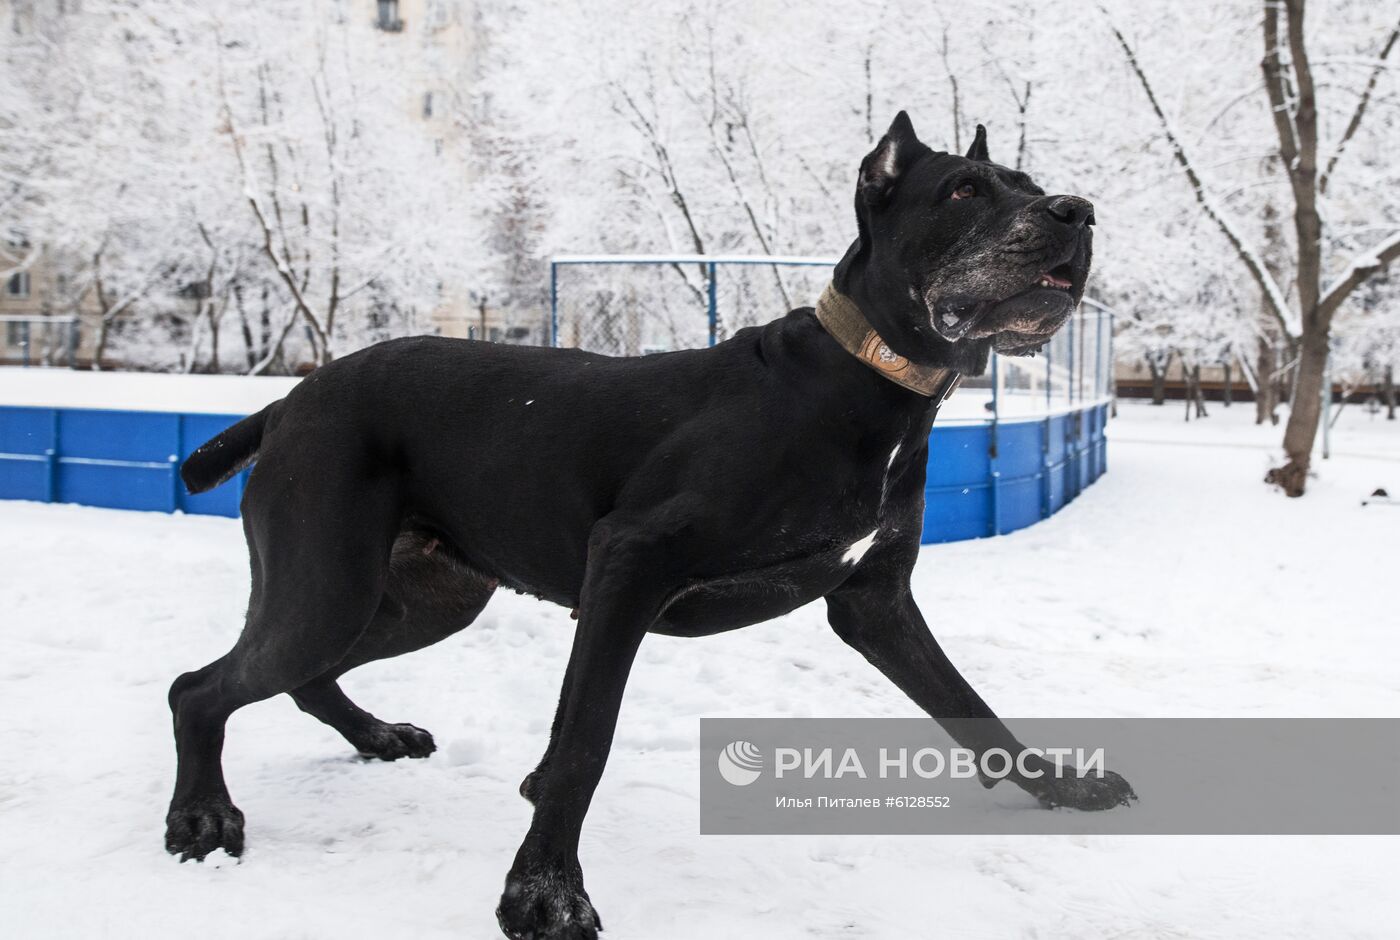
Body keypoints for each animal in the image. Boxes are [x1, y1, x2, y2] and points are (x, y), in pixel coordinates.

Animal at [166, 115, 1125, 940]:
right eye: (963, 190)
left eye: (1030, 184)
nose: (1076, 211)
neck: (871, 387)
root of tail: (289, 399)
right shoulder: (628, 565)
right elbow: (583, 741)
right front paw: (543, 894)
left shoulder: (875, 601)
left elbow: (972, 708)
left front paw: (1062, 789)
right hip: (329, 583)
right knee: (199, 688)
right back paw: (202, 815)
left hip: (422, 597)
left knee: (297, 677)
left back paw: (375, 737)